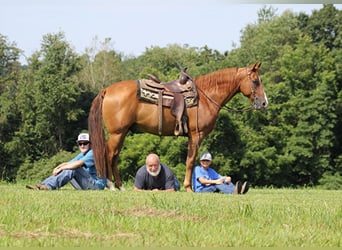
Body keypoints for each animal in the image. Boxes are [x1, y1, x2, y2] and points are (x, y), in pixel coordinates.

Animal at [87, 62, 268, 191]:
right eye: (255, 81)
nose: (264, 102)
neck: (205, 97)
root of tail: (107, 90)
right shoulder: (196, 135)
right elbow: (190, 160)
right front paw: (189, 188)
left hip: (122, 133)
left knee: (115, 156)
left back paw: (120, 186)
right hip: (117, 133)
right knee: (109, 154)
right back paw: (111, 186)